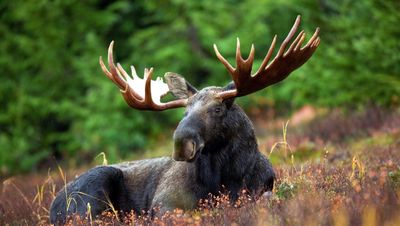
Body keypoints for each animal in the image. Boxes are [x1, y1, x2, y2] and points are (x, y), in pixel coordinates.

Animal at [50, 15, 320, 224]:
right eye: (184, 111)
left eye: (218, 109)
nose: (181, 143)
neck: (226, 178)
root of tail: (53, 207)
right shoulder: (164, 203)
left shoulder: (262, 189)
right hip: (93, 189)